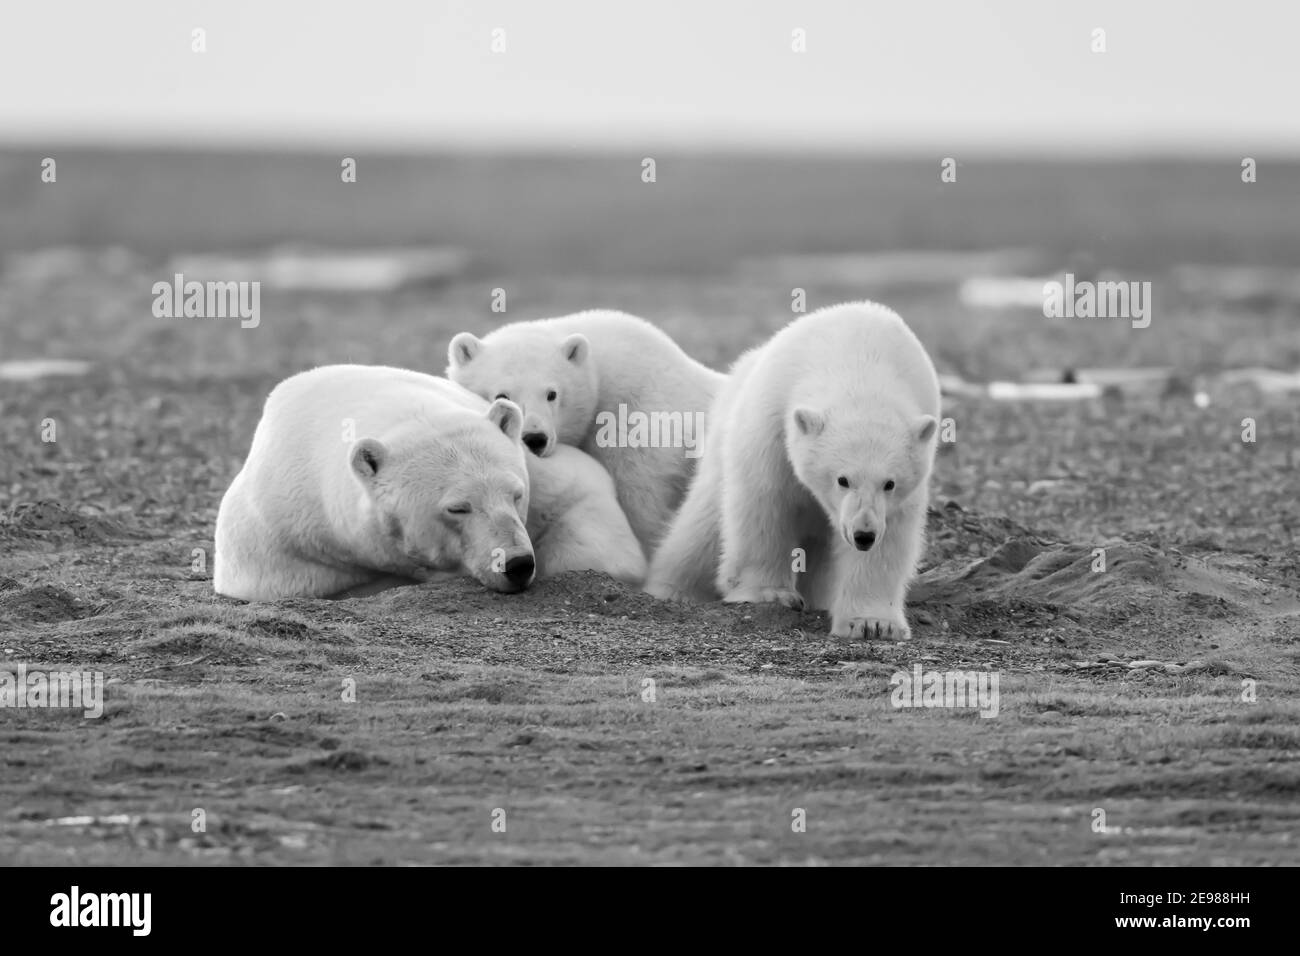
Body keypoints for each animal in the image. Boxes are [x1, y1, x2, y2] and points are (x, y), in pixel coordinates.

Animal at [214, 364, 646, 601]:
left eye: (516, 495)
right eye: (458, 507)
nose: (517, 564)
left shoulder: (537, 468)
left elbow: (585, 496)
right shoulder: (280, 537)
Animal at [644, 302, 941, 640]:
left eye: (889, 483)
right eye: (842, 479)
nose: (863, 534)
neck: (860, 362)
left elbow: (891, 539)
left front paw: (872, 623)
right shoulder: (773, 420)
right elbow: (765, 503)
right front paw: (770, 594)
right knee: (702, 526)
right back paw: (673, 588)